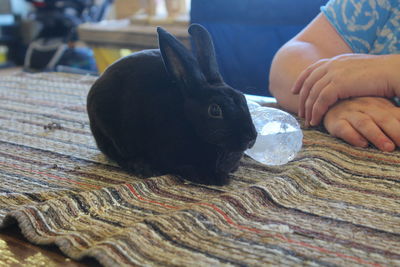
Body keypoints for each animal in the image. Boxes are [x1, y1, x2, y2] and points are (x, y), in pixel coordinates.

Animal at [87, 24, 256, 185]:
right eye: (215, 110)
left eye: (243, 98)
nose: (251, 137)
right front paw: (218, 179)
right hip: (110, 131)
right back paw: (143, 167)